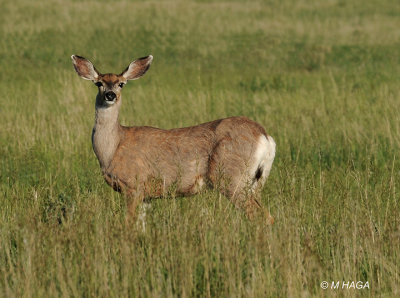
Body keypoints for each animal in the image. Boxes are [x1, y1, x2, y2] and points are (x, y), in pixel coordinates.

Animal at [71, 55, 276, 224]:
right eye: (98, 83)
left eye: (121, 83)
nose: (110, 95)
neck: (113, 148)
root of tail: (265, 137)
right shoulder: (146, 195)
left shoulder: (133, 184)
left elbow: (128, 224)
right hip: (254, 182)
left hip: (232, 177)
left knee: (261, 215)